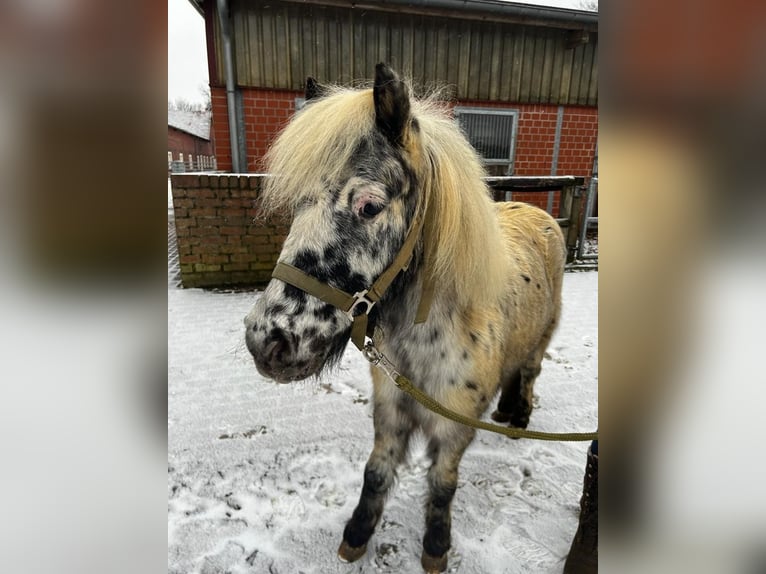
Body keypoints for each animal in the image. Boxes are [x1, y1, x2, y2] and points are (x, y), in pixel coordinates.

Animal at [246, 64, 568, 574]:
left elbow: (442, 483)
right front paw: (356, 536)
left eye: (369, 205)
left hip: (543, 338)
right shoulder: (391, 413)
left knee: (530, 372)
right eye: (299, 205)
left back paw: (517, 418)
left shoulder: (453, 429)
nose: (267, 341)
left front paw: (435, 546)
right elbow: (376, 473)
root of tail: (542, 214)